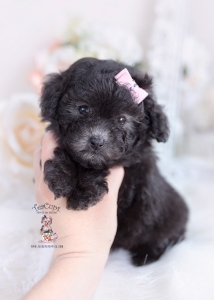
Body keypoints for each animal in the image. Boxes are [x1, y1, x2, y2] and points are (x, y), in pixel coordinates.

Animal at [40, 57, 189, 266]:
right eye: (83, 109)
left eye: (121, 120)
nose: (96, 141)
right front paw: (63, 177)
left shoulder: (129, 179)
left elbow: (99, 166)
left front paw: (83, 192)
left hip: (169, 219)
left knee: (166, 238)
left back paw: (146, 256)